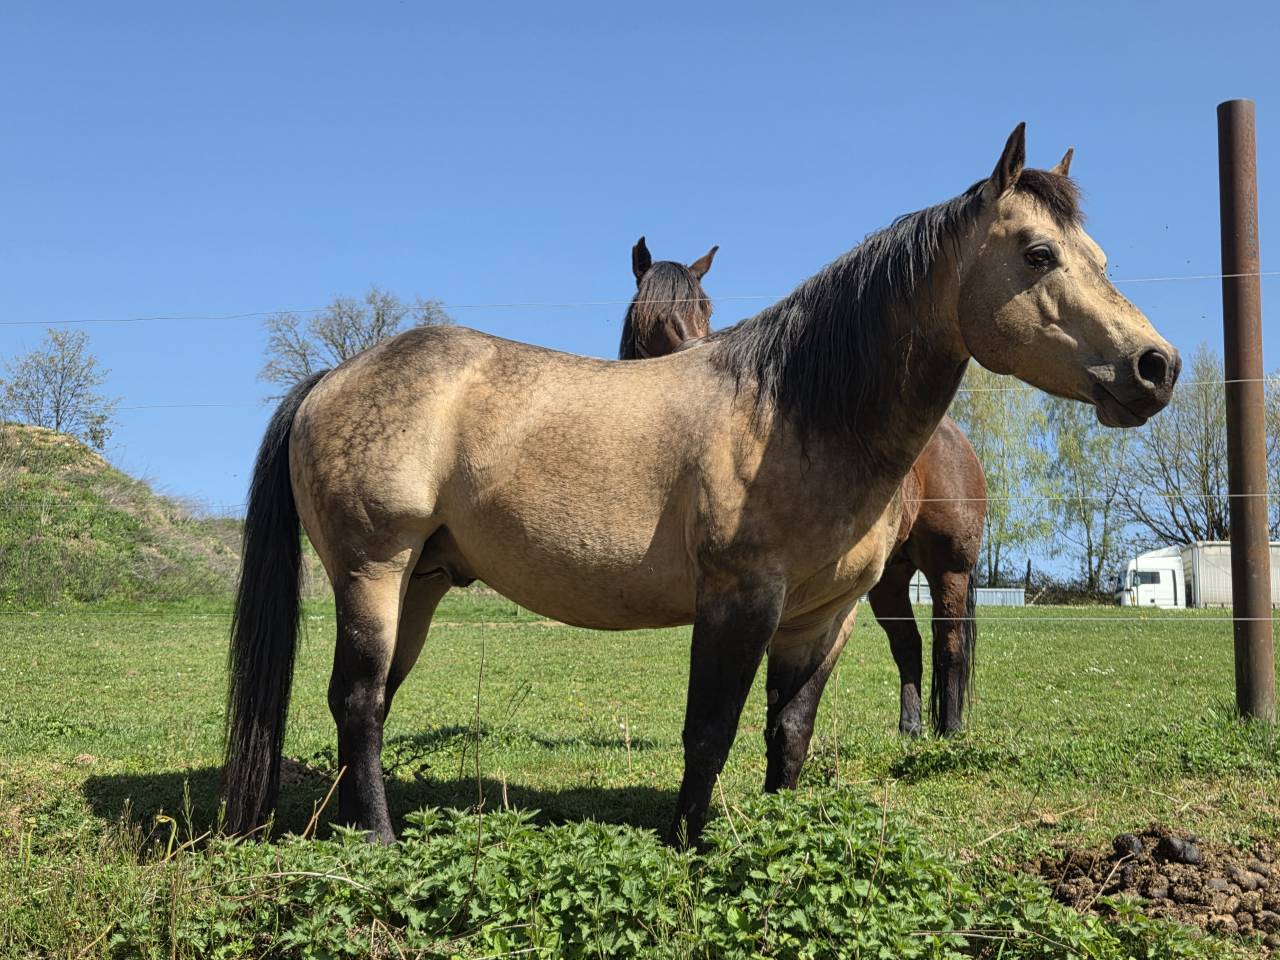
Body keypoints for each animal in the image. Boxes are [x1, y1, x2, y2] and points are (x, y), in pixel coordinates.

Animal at [623, 238, 987, 738]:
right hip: (890, 578)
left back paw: (949, 728)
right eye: (649, 312)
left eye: (704, 308)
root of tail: (956, 441)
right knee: (908, 645)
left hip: (950, 568)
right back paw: (910, 727)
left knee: (947, 646)